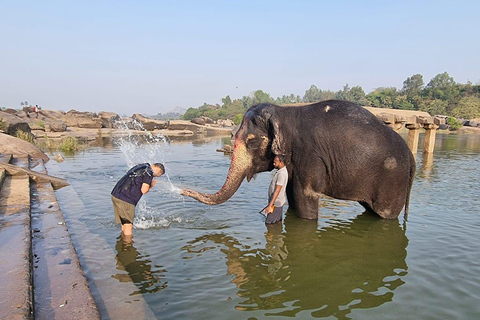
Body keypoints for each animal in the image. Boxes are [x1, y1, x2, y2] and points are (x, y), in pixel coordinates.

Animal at [182, 100, 414, 220]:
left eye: (251, 141)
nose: (181, 190)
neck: (284, 112)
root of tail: (411, 158)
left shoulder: (310, 155)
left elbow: (305, 196)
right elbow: (291, 195)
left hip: (393, 181)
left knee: (385, 215)